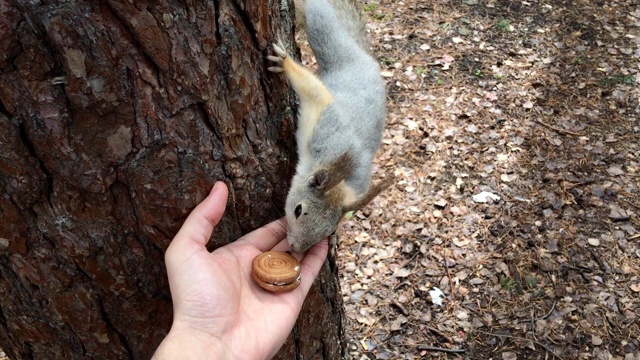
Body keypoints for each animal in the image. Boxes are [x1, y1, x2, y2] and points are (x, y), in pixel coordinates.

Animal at [266, 0, 390, 253]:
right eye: (298, 210)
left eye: (330, 228)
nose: (296, 248)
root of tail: (364, 58)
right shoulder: (323, 120)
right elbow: (312, 89)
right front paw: (284, 63)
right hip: (325, 33)